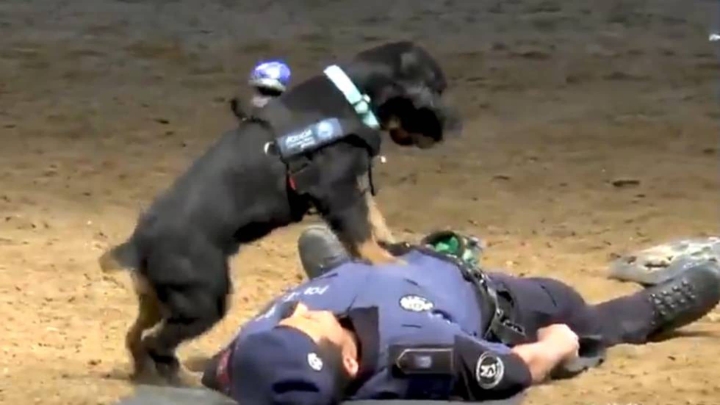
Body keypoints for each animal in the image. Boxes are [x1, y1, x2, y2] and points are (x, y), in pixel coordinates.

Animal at [100, 41, 462, 386]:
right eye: (435, 92)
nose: (451, 128)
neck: (355, 96)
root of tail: (136, 245)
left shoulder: (354, 183)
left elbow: (373, 217)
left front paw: (392, 244)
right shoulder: (337, 191)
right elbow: (361, 234)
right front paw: (388, 263)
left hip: (159, 300)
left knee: (135, 336)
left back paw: (147, 374)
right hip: (204, 299)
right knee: (155, 341)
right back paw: (182, 378)